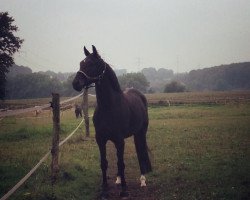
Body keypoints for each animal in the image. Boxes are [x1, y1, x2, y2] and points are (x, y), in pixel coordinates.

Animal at [71, 45, 151, 198]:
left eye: (92, 64)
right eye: (81, 63)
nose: (75, 83)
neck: (109, 106)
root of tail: (140, 95)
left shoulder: (120, 140)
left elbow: (121, 163)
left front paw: (124, 191)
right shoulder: (101, 139)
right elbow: (104, 163)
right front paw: (104, 190)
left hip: (140, 133)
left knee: (140, 151)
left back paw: (143, 179)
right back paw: (118, 179)